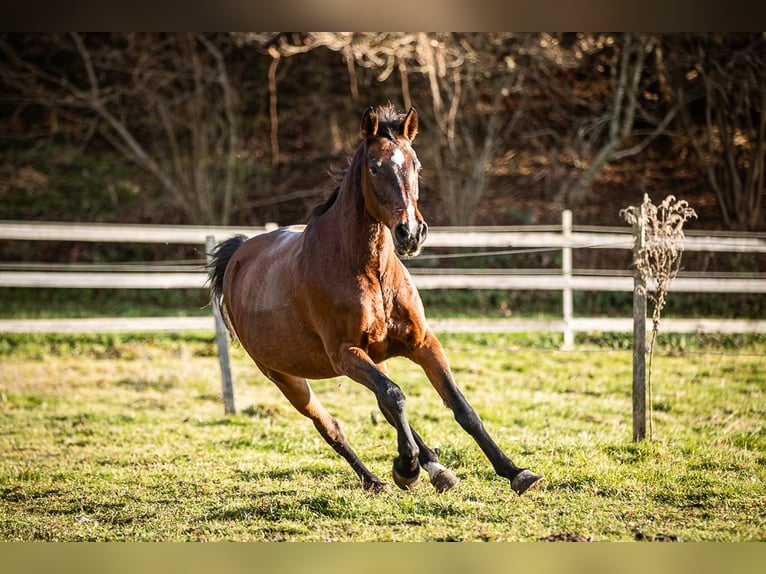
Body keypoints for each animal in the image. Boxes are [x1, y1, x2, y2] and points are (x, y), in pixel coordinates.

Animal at [207, 103, 544, 496]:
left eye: (416, 165)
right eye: (374, 166)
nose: (410, 232)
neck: (370, 272)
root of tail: (239, 252)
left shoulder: (422, 342)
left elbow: (460, 407)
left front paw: (515, 471)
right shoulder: (345, 353)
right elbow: (395, 397)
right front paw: (406, 469)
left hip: (368, 359)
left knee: (385, 403)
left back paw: (436, 470)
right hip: (285, 376)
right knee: (334, 425)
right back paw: (378, 478)